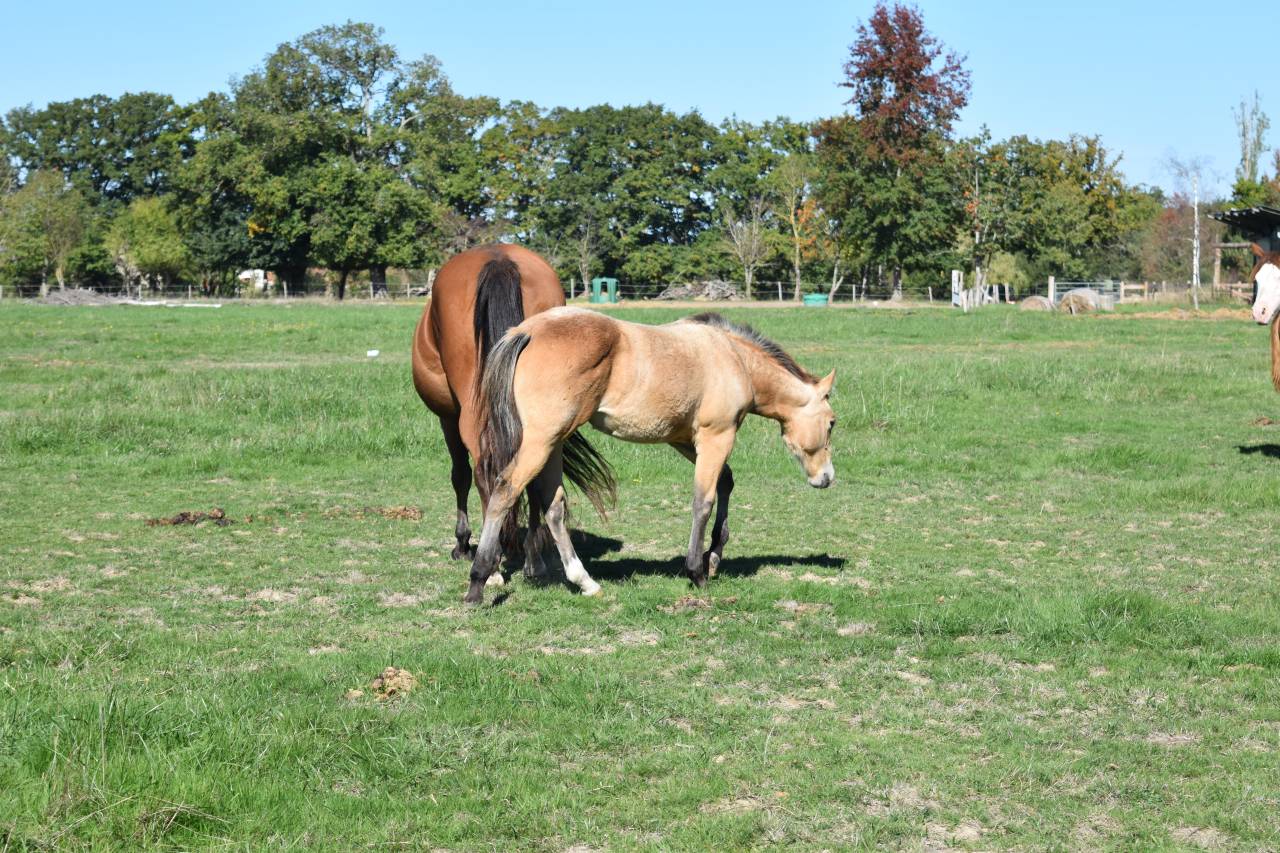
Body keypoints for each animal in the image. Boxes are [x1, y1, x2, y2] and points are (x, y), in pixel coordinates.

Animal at [411, 245, 614, 577]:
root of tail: (498, 258)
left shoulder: (447, 418)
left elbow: (460, 475)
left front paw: (463, 543)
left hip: (471, 412)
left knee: (483, 469)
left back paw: (492, 566)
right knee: (531, 475)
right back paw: (533, 557)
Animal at [464, 309, 837, 605]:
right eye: (832, 423)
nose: (827, 477)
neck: (733, 358)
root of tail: (526, 331)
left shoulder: (686, 440)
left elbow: (726, 482)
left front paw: (714, 557)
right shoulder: (717, 436)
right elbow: (703, 501)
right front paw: (697, 571)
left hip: (553, 443)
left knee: (553, 506)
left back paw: (584, 581)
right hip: (541, 442)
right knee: (505, 490)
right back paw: (479, 580)